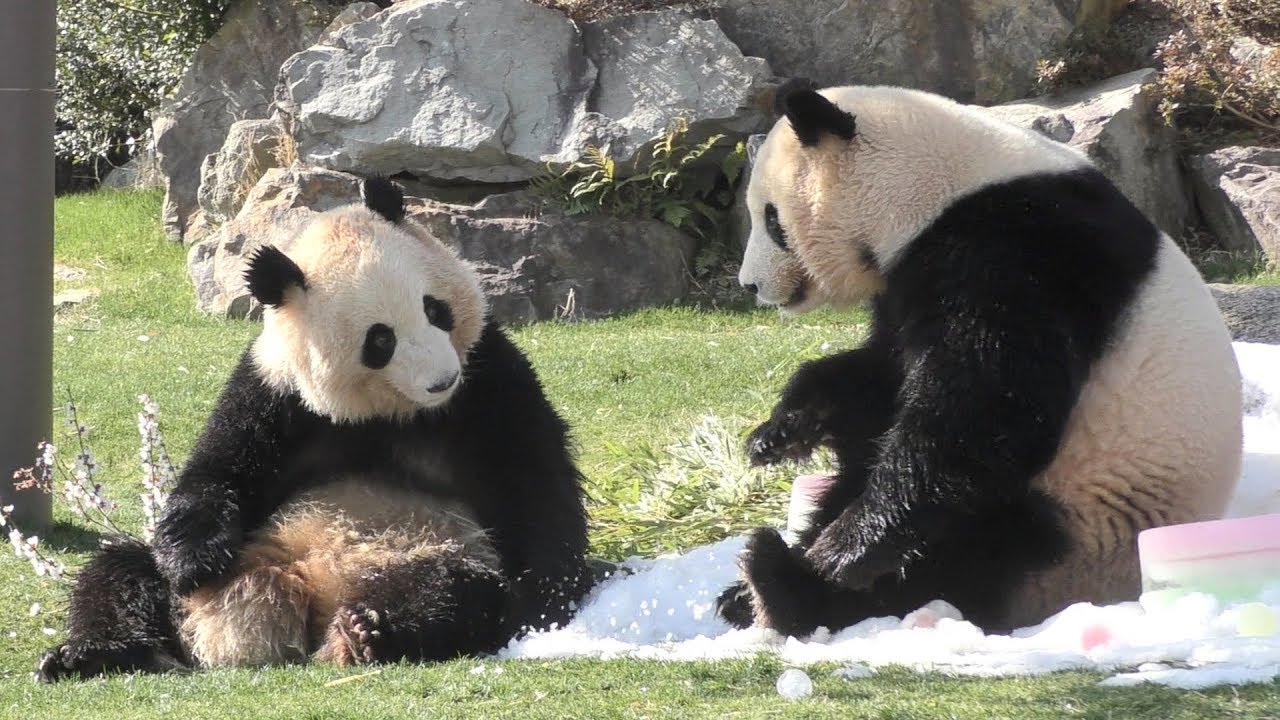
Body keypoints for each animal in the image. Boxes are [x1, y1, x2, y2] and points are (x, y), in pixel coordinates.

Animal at [37, 177, 593, 680]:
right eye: (381, 340)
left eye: (436, 309)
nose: (442, 380)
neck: (389, 410)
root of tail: (301, 588)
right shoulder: (276, 393)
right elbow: (220, 471)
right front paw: (193, 564)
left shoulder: (488, 379)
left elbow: (533, 484)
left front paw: (546, 597)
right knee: (120, 574)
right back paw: (94, 656)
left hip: (426, 547)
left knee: (456, 592)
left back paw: (367, 632)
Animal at [716, 79, 1244, 636]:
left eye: (771, 219)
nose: (750, 285)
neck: (936, 190)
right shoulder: (913, 279)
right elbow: (884, 377)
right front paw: (781, 430)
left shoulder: (1021, 253)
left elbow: (986, 409)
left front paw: (846, 549)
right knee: (863, 471)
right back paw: (749, 591)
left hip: (1089, 516)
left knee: (966, 545)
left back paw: (784, 582)